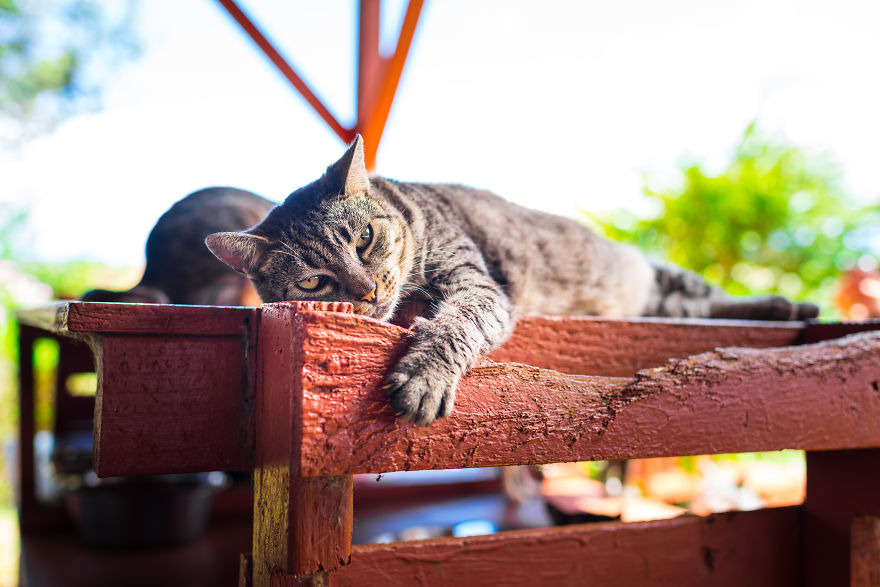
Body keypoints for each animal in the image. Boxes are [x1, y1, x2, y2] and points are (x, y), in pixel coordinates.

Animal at [205, 136, 820, 424]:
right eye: (313, 283)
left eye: (364, 240)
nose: (367, 292)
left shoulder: (479, 287)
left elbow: (453, 327)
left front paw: (423, 374)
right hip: (669, 303)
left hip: (667, 278)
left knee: (717, 296)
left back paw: (790, 306)